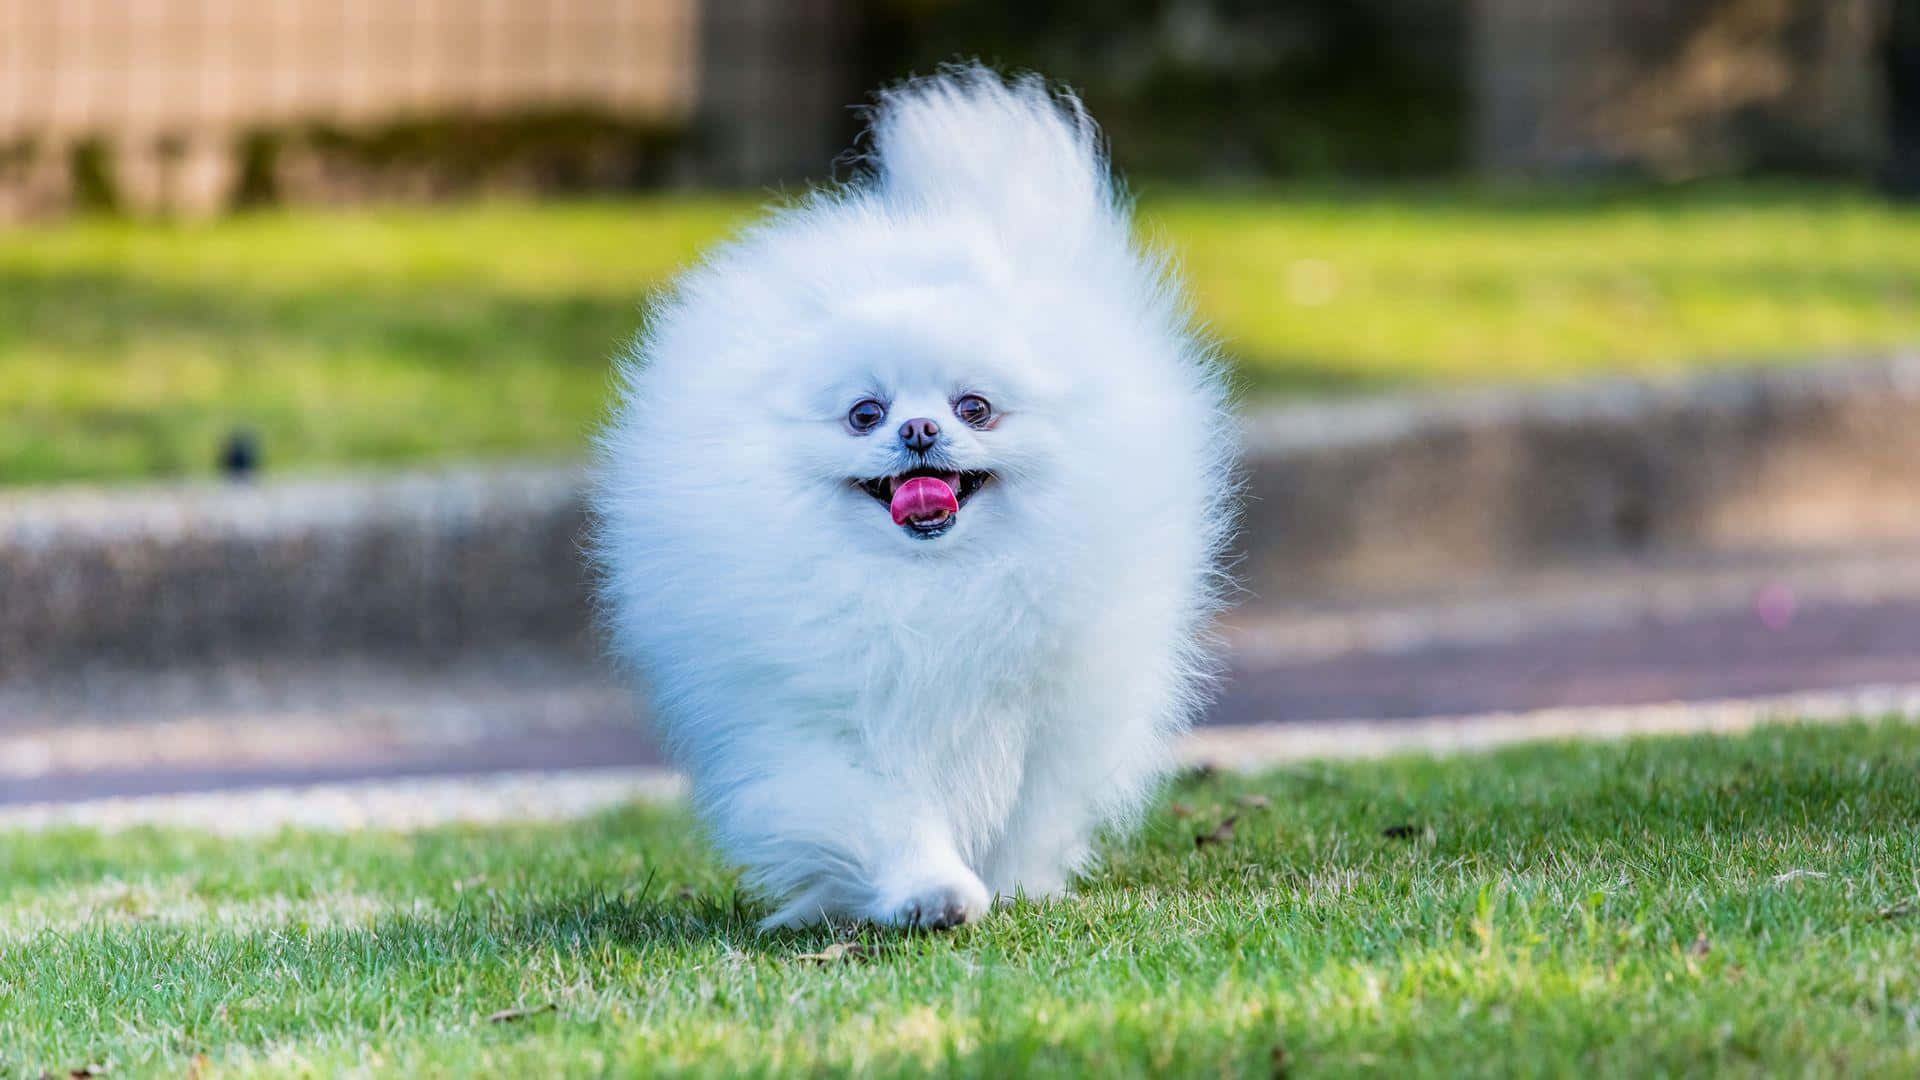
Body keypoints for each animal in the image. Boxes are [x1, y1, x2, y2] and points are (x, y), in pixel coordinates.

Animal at [591, 65, 1236, 926]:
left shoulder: (1048, 715)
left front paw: (1017, 883)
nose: (920, 429)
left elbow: (1030, 808)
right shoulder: (815, 726)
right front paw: (933, 891)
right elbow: (884, 815)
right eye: (866, 413)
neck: (932, 589)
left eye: (975, 407)